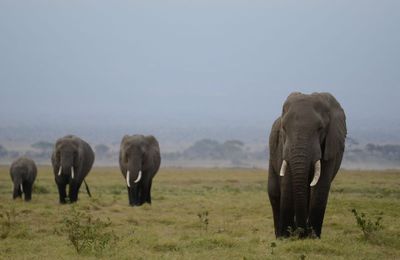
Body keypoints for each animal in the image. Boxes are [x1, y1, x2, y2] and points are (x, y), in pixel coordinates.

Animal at [268, 92, 346, 239]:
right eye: (284, 128)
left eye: (320, 128)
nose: (301, 233)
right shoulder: (284, 147)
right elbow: (287, 183)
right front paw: (286, 237)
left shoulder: (331, 145)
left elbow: (321, 186)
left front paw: (313, 237)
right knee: (274, 192)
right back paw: (280, 235)